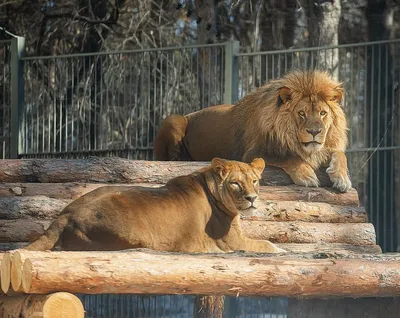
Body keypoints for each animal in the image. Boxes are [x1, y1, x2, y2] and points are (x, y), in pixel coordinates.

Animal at [24, 157, 284, 253]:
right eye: (236, 184)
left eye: (254, 181)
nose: (252, 198)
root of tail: (64, 216)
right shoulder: (231, 242)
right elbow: (266, 244)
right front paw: (281, 250)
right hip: (132, 234)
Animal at [155, 70, 352, 193]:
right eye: (301, 113)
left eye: (323, 113)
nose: (314, 131)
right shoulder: (253, 152)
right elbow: (288, 157)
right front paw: (307, 175)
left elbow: (340, 154)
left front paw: (342, 177)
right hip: (173, 119)